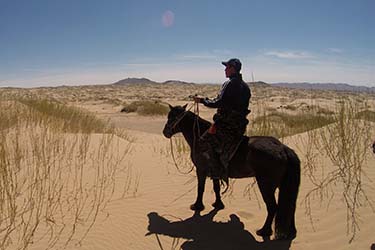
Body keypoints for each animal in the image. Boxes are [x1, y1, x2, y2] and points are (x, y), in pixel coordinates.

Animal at [163, 104, 302, 240]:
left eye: (172, 117)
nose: (165, 132)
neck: (198, 137)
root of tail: (283, 149)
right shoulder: (215, 172)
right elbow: (216, 188)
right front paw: (218, 204)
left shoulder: (201, 170)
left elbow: (200, 189)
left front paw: (197, 206)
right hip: (282, 185)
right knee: (290, 205)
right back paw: (290, 232)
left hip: (266, 185)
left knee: (273, 207)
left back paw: (264, 231)